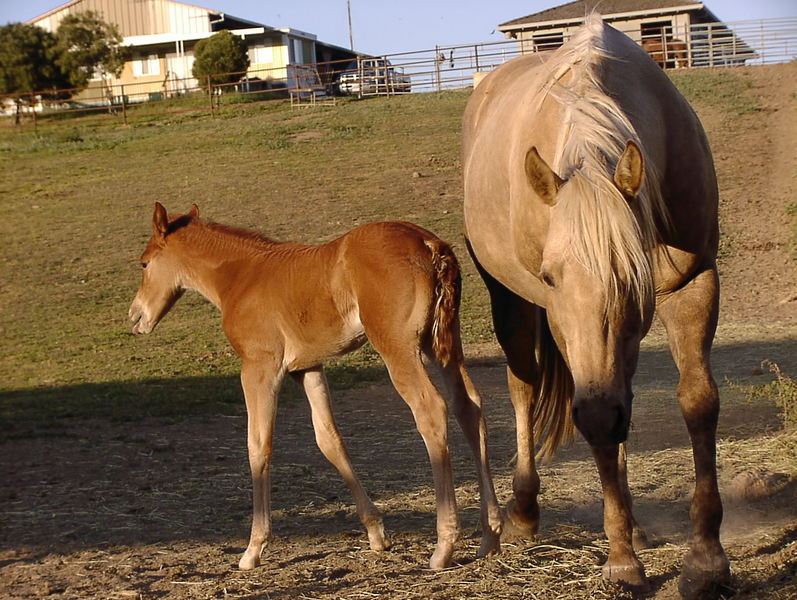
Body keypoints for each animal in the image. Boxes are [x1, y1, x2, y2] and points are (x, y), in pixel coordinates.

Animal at [128, 204, 503, 571]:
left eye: (144, 263)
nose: (135, 318)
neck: (242, 277)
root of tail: (429, 244)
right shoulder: (307, 368)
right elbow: (329, 440)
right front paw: (376, 534)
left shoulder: (259, 367)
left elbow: (258, 445)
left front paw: (253, 548)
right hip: (443, 343)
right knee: (469, 408)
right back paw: (491, 535)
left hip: (399, 347)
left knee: (431, 410)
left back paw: (444, 545)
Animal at [462, 15, 728, 599]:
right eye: (550, 278)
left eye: (632, 275)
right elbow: (601, 427)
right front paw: (622, 561)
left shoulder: (693, 282)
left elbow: (697, 402)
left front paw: (706, 559)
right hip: (509, 303)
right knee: (524, 386)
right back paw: (523, 513)